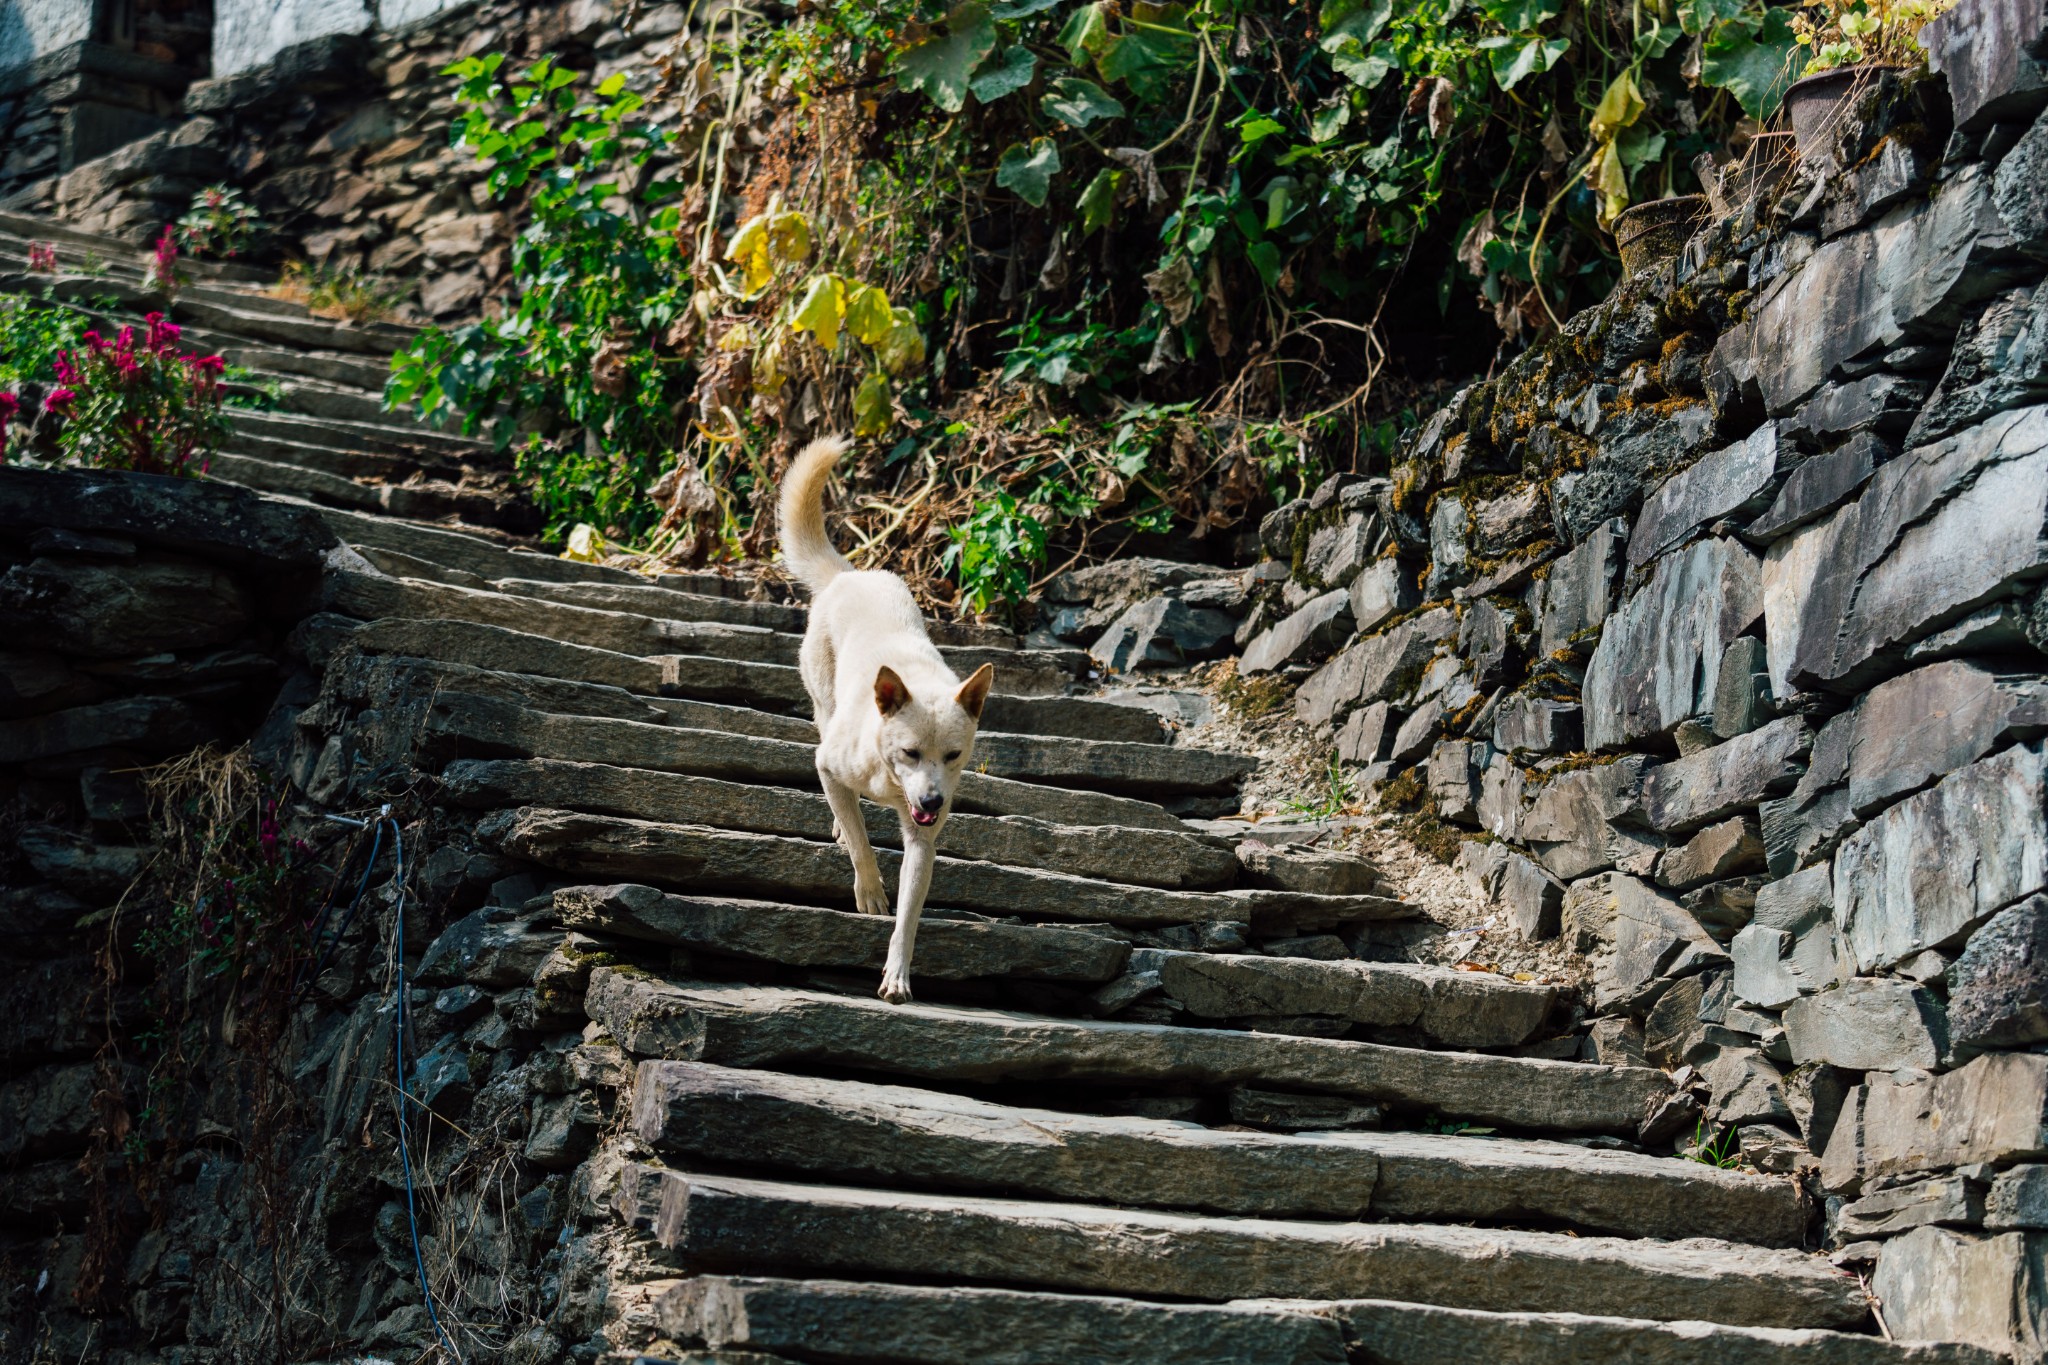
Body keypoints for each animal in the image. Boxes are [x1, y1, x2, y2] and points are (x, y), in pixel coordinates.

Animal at [774, 435, 991, 1002]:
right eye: (909, 752)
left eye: (954, 756)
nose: (933, 803)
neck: (889, 780)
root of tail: (849, 576)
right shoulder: (831, 765)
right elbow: (860, 842)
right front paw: (870, 889)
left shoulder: (923, 840)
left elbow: (909, 914)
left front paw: (898, 972)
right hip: (824, 698)